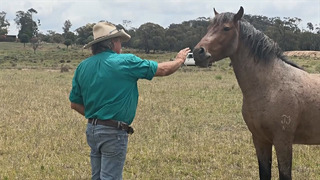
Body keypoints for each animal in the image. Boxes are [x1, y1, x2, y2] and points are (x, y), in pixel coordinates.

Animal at [194, 5, 320, 180]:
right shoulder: (260, 140)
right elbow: (264, 173)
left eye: (226, 28)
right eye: (209, 28)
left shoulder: (283, 141)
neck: (270, 87)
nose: (198, 52)